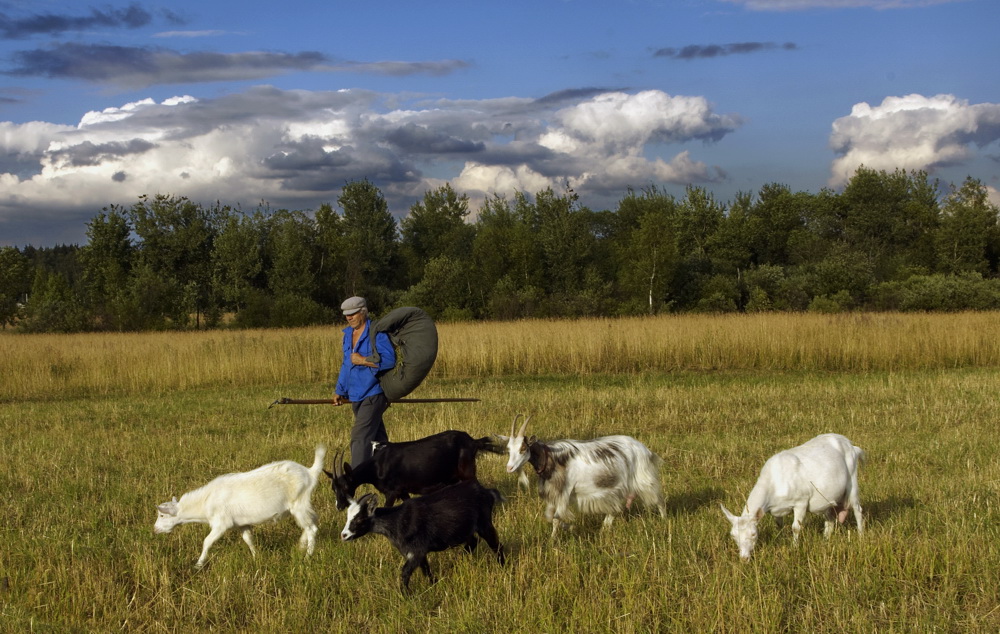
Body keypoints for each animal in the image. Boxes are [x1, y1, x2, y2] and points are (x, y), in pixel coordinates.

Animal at [153, 442, 324, 564]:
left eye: (162, 515)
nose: (155, 529)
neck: (206, 501)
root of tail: (310, 472)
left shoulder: (221, 523)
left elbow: (207, 542)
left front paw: (198, 564)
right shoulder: (241, 523)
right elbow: (248, 539)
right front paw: (256, 556)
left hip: (299, 504)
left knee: (312, 529)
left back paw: (307, 556)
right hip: (303, 506)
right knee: (312, 521)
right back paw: (301, 545)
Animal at [324, 428, 504, 512]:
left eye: (346, 486)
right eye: (333, 488)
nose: (339, 505)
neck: (377, 466)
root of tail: (473, 442)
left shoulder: (392, 491)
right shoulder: (403, 491)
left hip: (467, 471)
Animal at [342, 476, 508, 592]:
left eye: (359, 519)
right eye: (348, 517)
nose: (344, 535)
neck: (397, 520)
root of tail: (487, 491)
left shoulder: (417, 550)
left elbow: (405, 573)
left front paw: (406, 595)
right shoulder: (417, 553)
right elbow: (425, 569)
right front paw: (434, 584)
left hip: (484, 523)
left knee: (496, 545)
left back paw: (502, 567)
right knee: (473, 542)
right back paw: (456, 564)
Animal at [508, 412, 664, 536]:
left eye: (523, 448)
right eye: (509, 449)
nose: (509, 468)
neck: (553, 458)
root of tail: (645, 450)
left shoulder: (564, 491)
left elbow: (556, 518)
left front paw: (553, 539)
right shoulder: (554, 493)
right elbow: (550, 516)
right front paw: (570, 527)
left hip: (643, 478)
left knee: (658, 500)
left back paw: (664, 519)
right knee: (615, 508)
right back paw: (605, 527)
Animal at [720, 430, 868, 556]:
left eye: (753, 534)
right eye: (733, 535)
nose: (744, 558)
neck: (774, 482)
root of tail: (851, 446)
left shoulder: (801, 502)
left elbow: (796, 527)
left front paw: (794, 547)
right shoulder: (776, 509)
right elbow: (779, 525)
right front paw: (781, 538)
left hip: (852, 481)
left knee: (857, 509)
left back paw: (861, 536)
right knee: (830, 519)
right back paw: (826, 539)